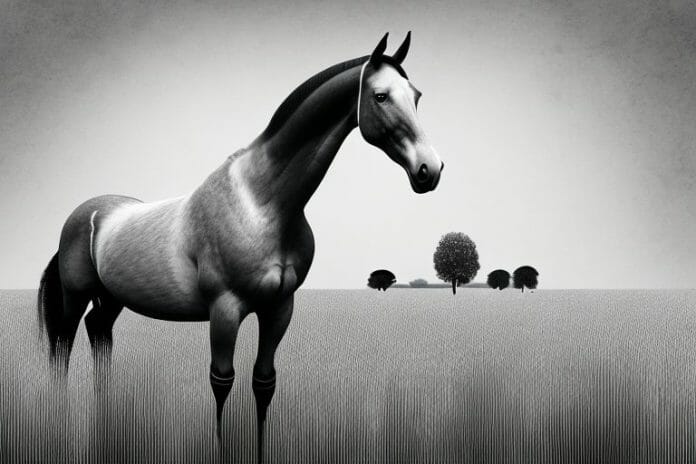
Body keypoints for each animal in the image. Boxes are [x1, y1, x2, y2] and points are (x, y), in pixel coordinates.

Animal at [37, 31, 443, 462]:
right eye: (381, 96)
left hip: (111, 298)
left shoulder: (279, 308)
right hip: (75, 295)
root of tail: (88, 213)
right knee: (62, 344)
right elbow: (221, 381)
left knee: (98, 333)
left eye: (416, 95)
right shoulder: (225, 309)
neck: (263, 202)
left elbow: (264, 382)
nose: (430, 170)